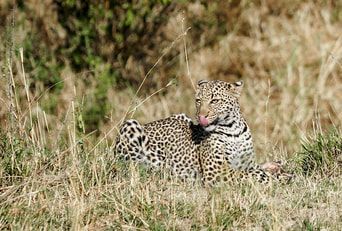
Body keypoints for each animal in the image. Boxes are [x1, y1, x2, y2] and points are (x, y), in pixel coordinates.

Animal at [115, 79, 288, 186]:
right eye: (198, 101)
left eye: (214, 101)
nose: (200, 116)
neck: (234, 130)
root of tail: (149, 124)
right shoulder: (217, 171)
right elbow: (249, 174)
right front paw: (277, 179)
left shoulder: (246, 163)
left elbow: (254, 169)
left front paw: (276, 169)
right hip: (130, 126)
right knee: (131, 164)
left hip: (180, 116)